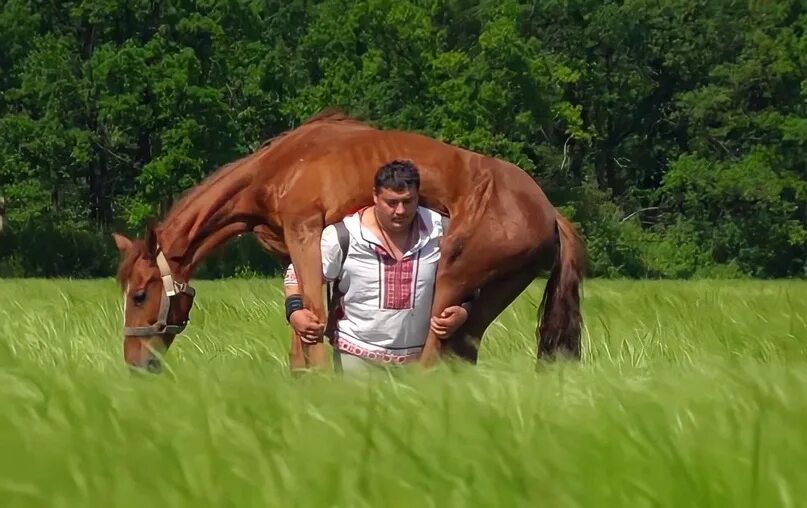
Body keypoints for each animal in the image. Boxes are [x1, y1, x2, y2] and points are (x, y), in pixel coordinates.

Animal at [112, 108, 580, 374]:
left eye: (140, 294)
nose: (135, 363)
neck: (278, 166)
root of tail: (549, 210)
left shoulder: (303, 231)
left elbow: (316, 322)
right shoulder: (297, 250)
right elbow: (303, 322)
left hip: (453, 274)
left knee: (436, 348)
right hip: (496, 289)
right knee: (463, 348)